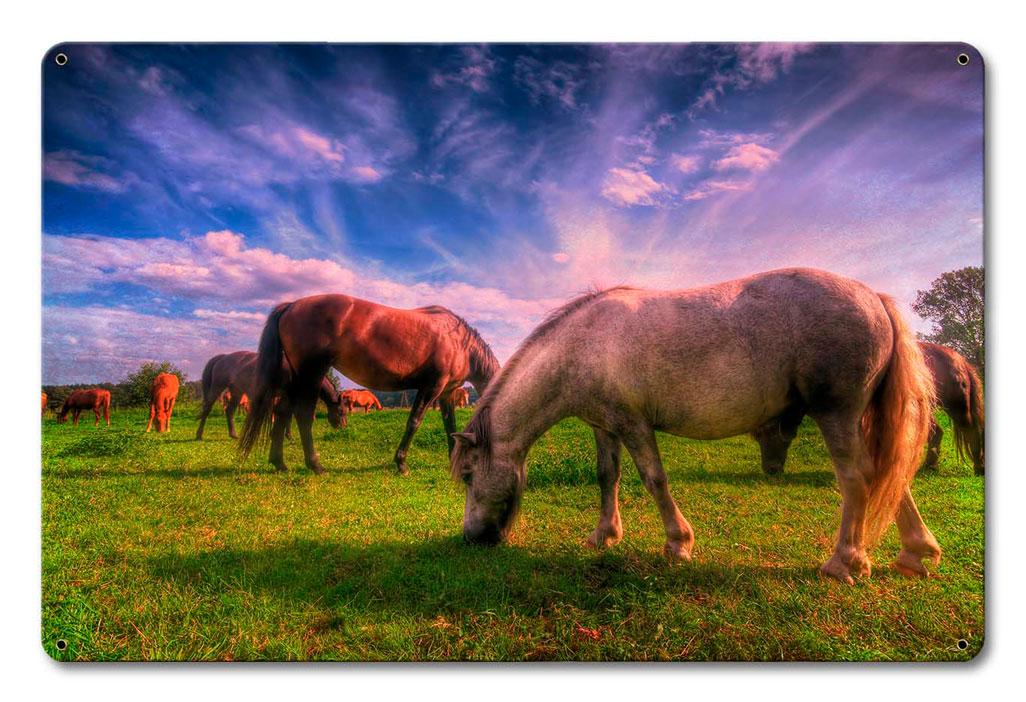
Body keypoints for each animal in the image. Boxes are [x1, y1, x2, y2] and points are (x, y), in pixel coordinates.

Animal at [196, 351, 345, 441]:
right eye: (341, 411)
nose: (342, 428)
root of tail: (223, 357)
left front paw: (286, 435)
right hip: (217, 388)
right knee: (207, 409)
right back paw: (199, 435)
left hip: (236, 392)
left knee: (230, 411)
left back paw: (233, 435)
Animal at [239, 294, 499, 475]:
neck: (459, 343)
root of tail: (291, 305)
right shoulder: (431, 388)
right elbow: (414, 422)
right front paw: (401, 464)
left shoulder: (446, 393)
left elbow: (450, 426)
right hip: (310, 375)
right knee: (303, 415)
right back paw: (316, 465)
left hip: (297, 379)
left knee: (283, 412)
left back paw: (279, 463)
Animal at [449, 269, 939, 584]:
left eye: (469, 476)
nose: (473, 539)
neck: (583, 345)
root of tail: (874, 297)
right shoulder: (605, 426)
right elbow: (607, 477)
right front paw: (604, 535)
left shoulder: (634, 424)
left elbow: (654, 480)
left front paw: (677, 544)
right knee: (888, 476)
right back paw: (915, 553)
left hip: (837, 414)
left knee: (857, 480)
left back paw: (845, 563)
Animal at [752, 341, 984, 476]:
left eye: (766, 434)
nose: (770, 470)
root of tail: (961, 360)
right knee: (938, 432)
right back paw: (930, 465)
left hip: (958, 408)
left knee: (972, 432)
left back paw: (978, 467)